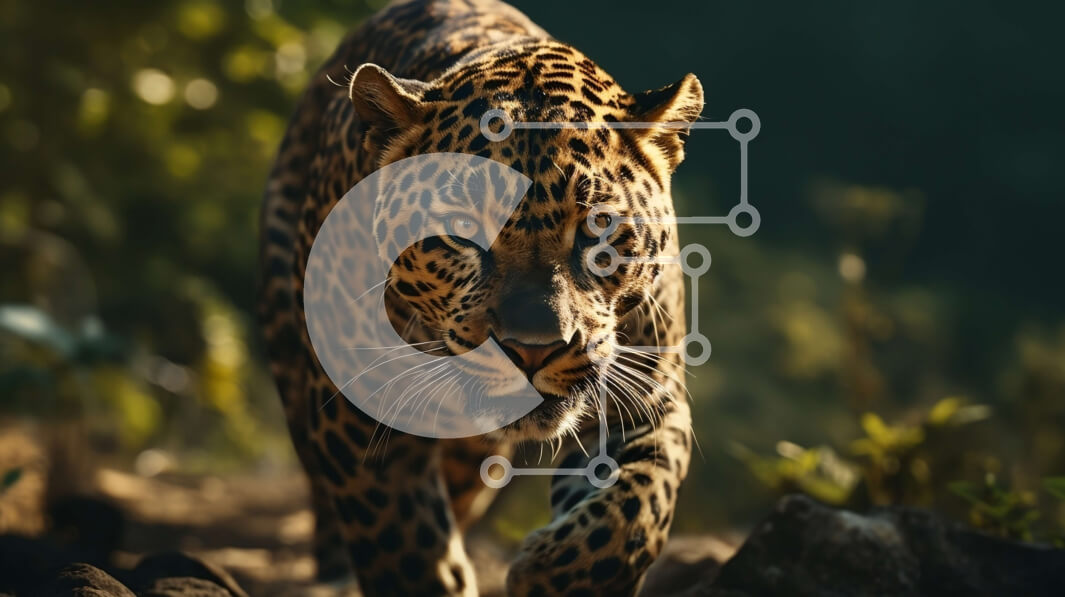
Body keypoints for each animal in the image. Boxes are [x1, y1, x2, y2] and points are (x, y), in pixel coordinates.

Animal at [257, 0, 702, 595]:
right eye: (464, 229)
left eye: (598, 229)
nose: (534, 350)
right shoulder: (360, 415)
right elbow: (403, 548)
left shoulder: (646, 400)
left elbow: (632, 513)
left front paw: (550, 575)